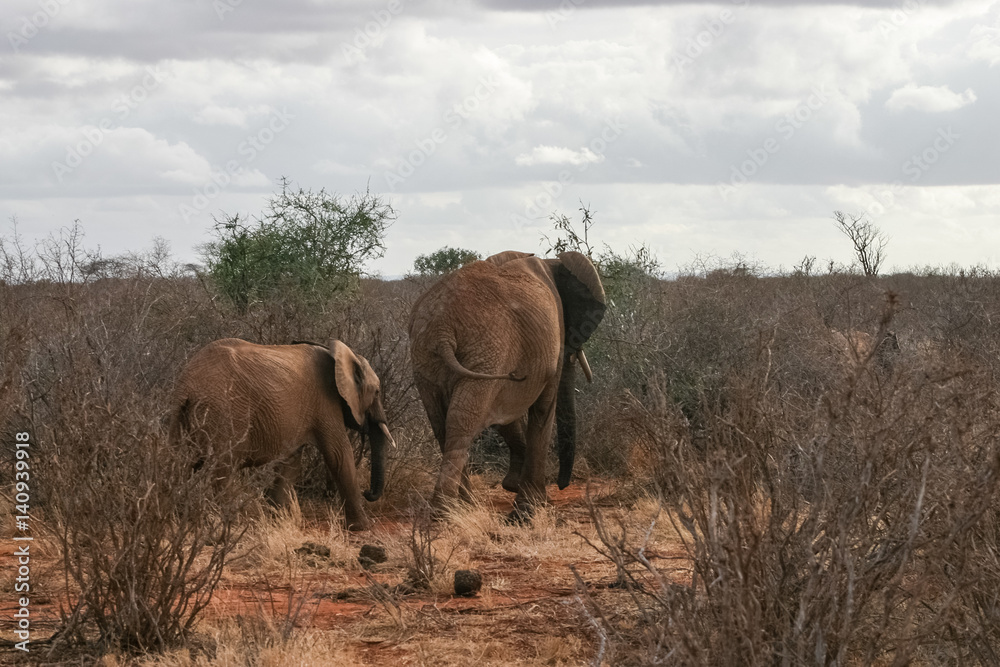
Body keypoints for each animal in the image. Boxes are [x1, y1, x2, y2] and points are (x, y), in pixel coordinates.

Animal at [169, 338, 393, 530]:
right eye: (377, 392)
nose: (368, 492)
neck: (339, 355)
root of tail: (187, 387)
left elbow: (290, 464)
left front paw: (279, 521)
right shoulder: (326, 402)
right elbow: (339, 455)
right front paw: (363, 527)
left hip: (180, 416)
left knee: (178, 465)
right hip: (224, 414)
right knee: (222, 470)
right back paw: (239, 522)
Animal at [408, 250, 606, 521]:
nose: (562, 485)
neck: (552, 262)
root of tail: (442, 330)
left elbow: (504, 413)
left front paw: (514, 487)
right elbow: (543, 408)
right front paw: (531, 505)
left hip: (428, 358)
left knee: (442, 422)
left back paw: (461, 506)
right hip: (487, 350)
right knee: (463, 421)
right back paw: (445, 511)